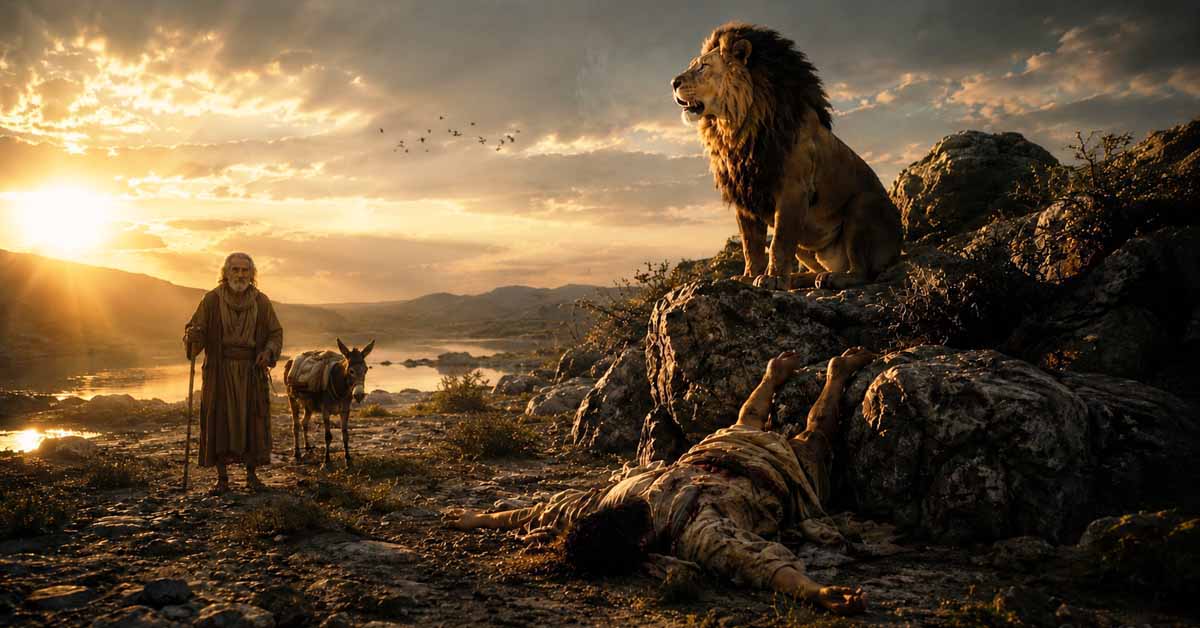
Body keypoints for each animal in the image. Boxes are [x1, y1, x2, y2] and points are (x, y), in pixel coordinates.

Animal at [672, 22, 902, 290]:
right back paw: (803, 279)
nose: (673, 82)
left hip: (864, 204)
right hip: (808, 246)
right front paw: (748, 277)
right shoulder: (745, 193)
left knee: (863, 272)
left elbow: (778, 242)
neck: (736, 129)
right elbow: (751, 245)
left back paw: (835, 278)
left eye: (703, 66)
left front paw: (772, 279)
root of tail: (899, 249)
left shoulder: (793, 188)